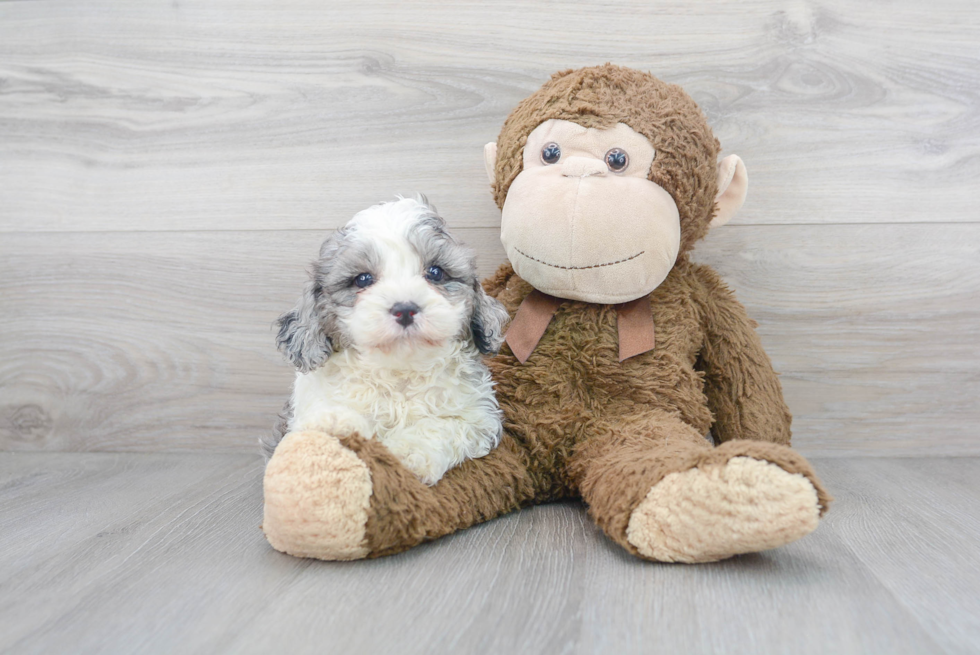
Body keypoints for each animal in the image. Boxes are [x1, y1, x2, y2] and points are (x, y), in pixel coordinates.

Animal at [264, 196, 510, 486]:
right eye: (363, 279)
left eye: (436, 272)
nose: (405, 309)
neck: (398, 372)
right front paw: (338, 424)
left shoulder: (478, 416)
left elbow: (444, 426)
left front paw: (408, 452)